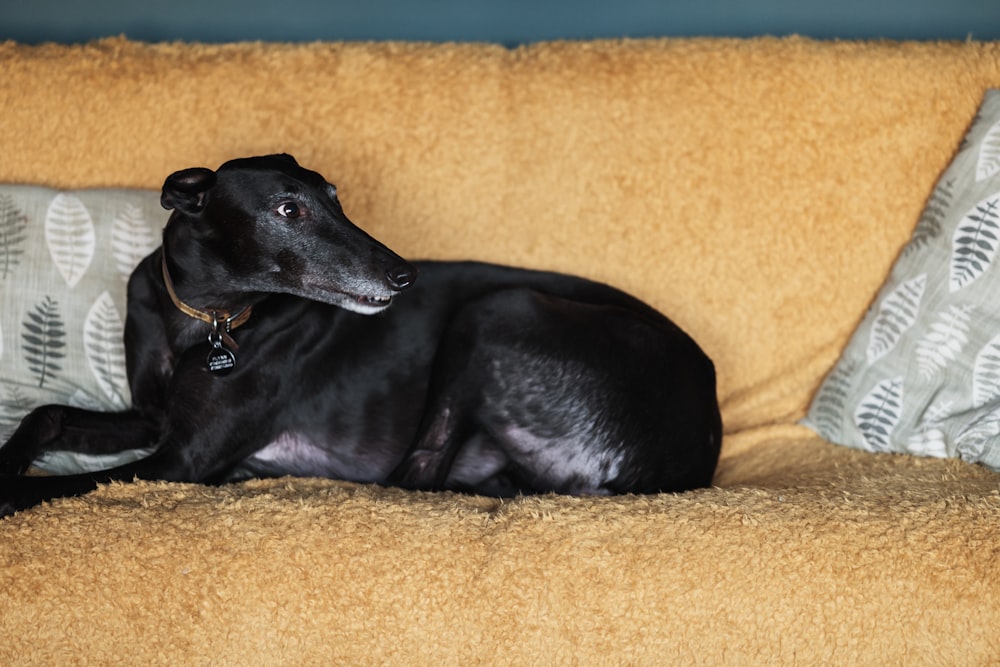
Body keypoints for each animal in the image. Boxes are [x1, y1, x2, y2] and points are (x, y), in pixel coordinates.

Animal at [0, 153, 720, 516]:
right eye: (288, 209)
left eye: (337, 197)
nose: (404, 276)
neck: (207, 317)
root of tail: (696, 449)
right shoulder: (154, 419)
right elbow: (47, 413)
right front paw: (11, 456)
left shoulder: (181, 459)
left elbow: (54, 483)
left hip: (498, 310)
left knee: (414, 477)